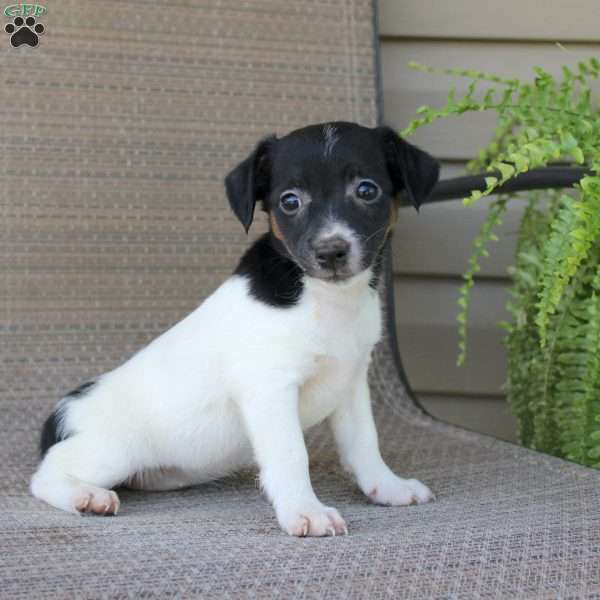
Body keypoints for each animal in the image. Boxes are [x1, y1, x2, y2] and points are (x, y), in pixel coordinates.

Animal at [30, 123, 438, 540]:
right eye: (290, 201)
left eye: (367, 191)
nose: (330, 252)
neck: (324, 297)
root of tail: (61, 415)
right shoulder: (271, 388)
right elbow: (291, 453)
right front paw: (305, 510)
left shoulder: (350, 383)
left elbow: (364, 442)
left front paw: (386, 487)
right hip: (114, 449)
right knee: (45, 475)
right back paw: (86, 496)